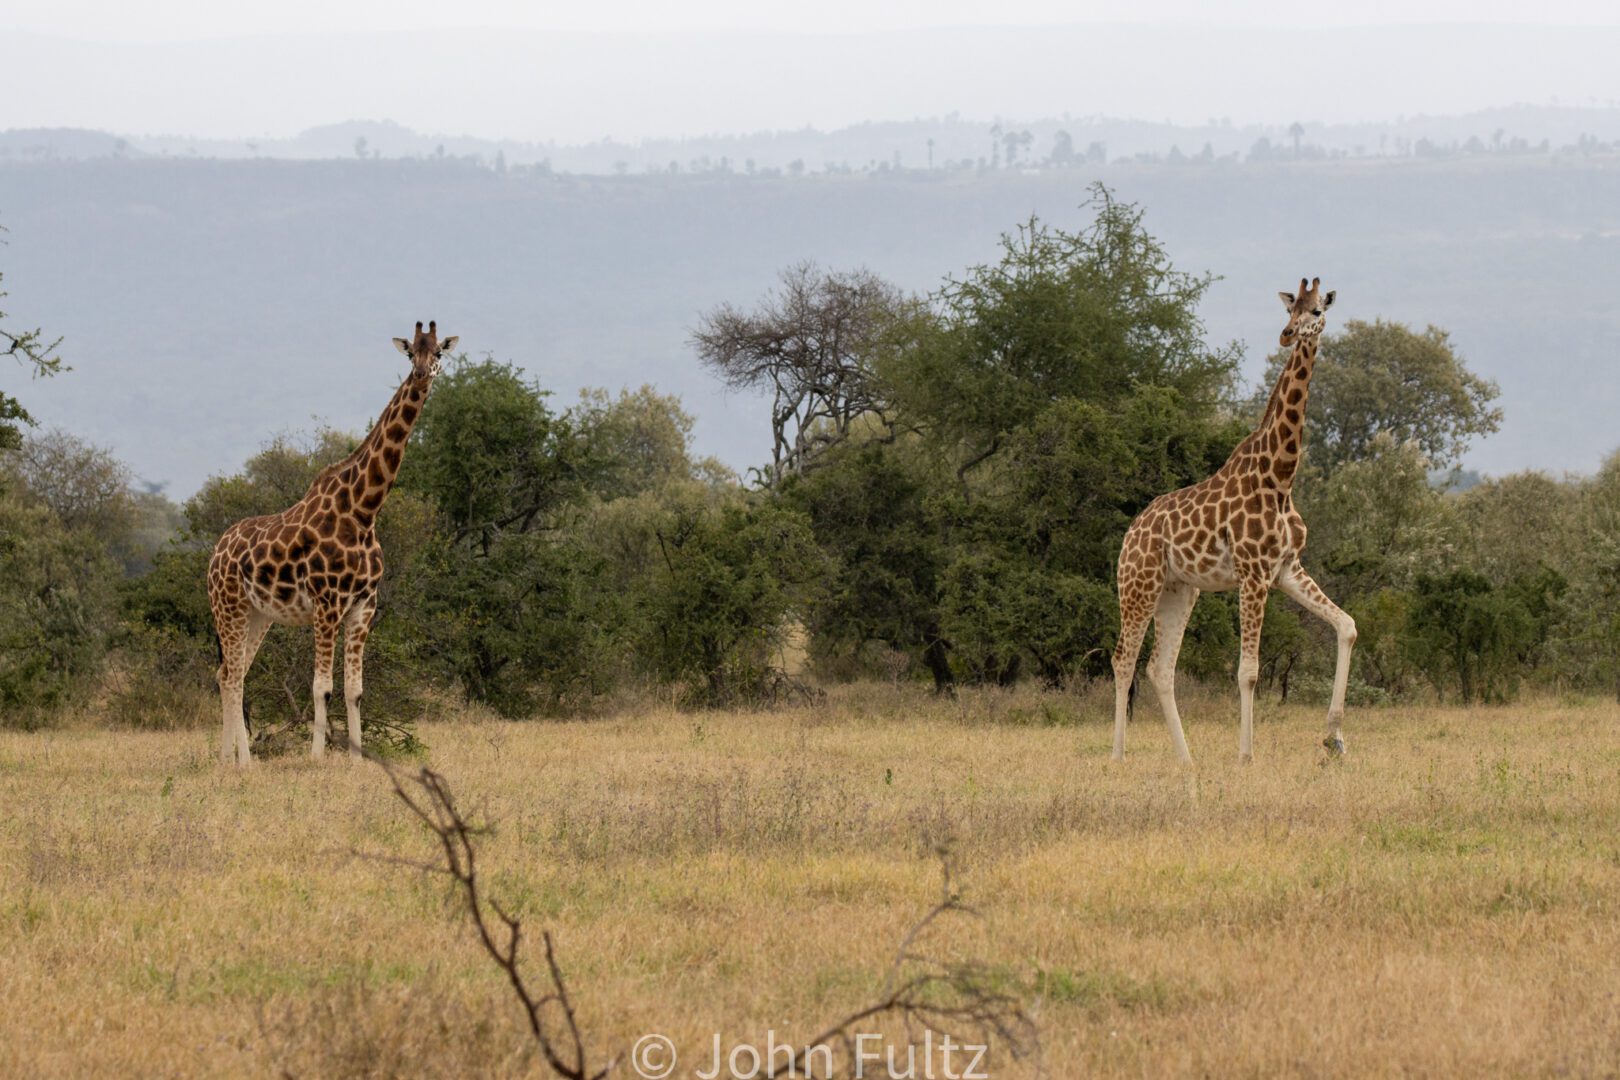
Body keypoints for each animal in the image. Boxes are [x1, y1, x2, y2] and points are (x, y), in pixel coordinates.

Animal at [205, 317, 456, 764]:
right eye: (411, 351)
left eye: (439, 351)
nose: (422, 373)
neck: (363, 511)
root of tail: (214, 553)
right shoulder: (326, 604)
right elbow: (321, 687)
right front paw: (317, 757)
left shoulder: (363, 607)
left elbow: (355, 691)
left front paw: (356, 759)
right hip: (228, 607)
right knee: (232, 676)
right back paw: (244, 763)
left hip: (258, 615)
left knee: (229, 673)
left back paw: (227, 761)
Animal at [1114, 281, 1354, 767]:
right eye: (1291, 309)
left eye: (1317, 311)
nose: (1287, 334)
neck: (1280, 475)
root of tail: (1131, 534)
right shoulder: (1253, 573)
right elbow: (1248, 672)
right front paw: (1246, 756)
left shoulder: (1286, 569)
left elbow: (1347, 626)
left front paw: (1334, 738)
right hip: (1139, 585)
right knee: (1122, 660)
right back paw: (1118, 756)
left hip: (1179, 590)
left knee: (1159, 668)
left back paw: (1186, 760)